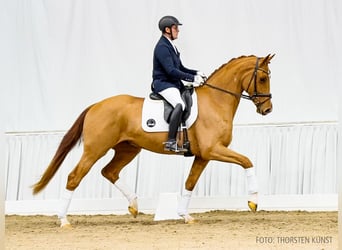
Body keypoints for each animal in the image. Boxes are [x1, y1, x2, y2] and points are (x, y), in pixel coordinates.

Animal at [32, 54, 276, 227]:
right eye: (263, 78)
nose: (267, 109)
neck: (216, 101)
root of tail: (95, 106)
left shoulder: (203, 155)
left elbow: (190, 182)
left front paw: (185, 215)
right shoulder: (213, 149)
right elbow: (247, 161)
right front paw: (253, 201)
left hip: (128, 149)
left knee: (109, 171)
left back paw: (134, 205)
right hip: (95, 150)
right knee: (75, 177)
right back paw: (63, 220)